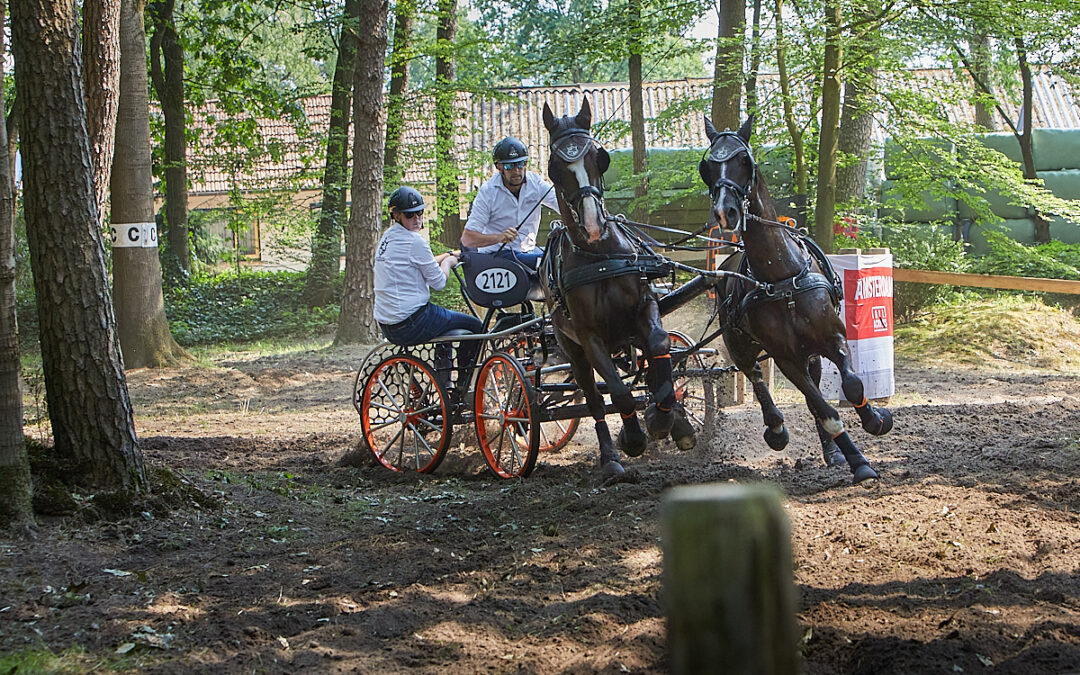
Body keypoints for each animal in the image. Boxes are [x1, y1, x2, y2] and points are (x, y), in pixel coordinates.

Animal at [537, 98, 691, 479]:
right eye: (554, 167)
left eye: (599, 157)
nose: (593, 224)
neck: (601, 257)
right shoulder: (589, 337)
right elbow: (617, 392)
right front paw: (632, 438)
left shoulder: (645, 308)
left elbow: (660, 346)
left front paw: (664, 418)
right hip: (571, 347)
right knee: (593, 397)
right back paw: (610, 459)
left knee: (650, 368)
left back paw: (676, 421)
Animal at [699, 117, 894, 483]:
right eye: (707, 168)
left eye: (744, 160)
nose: (725, 211)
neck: (781, 277)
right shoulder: (786, 358)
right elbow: (826, 410)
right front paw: (859, 461)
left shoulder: (833, 337)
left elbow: (853, 386)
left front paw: (876, 420)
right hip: (741, 345)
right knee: (756, 377)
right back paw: (776, 430)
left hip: (811, 354)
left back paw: (833, 451)